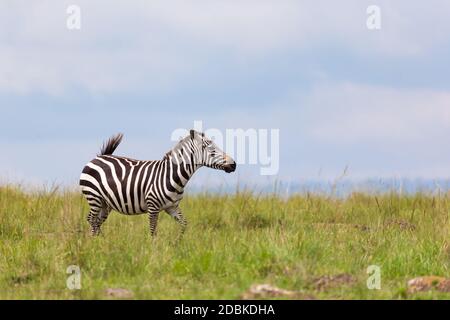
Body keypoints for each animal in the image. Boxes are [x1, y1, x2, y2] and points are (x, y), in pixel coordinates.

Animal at [79, 130, 237, 238]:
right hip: (94, 196)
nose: (234, 165)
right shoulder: (153, 206)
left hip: (105, 203)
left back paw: (100, 242)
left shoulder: (172, 206)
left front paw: (178, 243)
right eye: (212, 151)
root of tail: (98, 157)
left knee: (96, 221)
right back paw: (96, 243)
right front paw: (154, 251)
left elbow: (184, 224)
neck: (171, 175)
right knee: (91, 219)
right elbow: (153, 230)